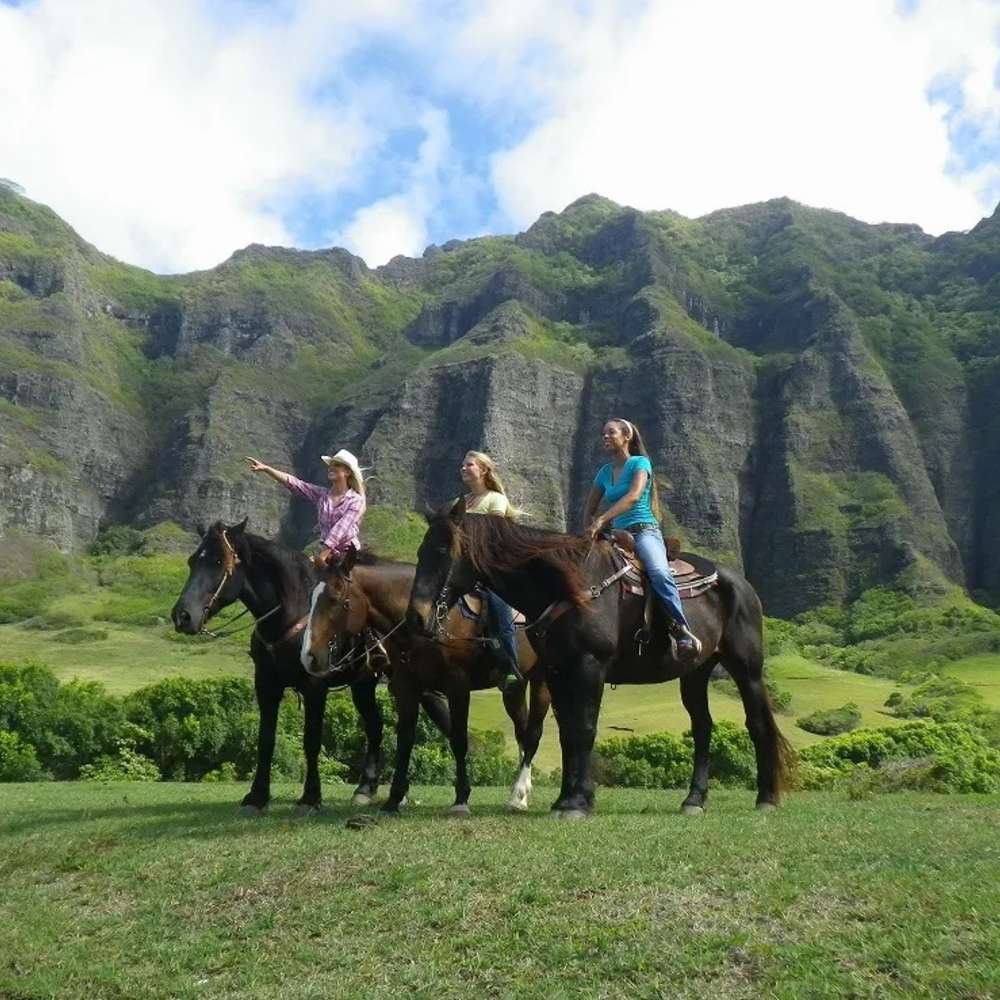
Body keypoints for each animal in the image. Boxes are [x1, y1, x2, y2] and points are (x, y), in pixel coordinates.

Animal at [170, 519, 451, 815]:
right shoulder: (266, 685)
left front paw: (310, 797)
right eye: (192, 561)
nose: (182, 616)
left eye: (218, 561)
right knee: (376, 726)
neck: (291, 613)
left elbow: (312, 740)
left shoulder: (315, 686)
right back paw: (366, 789)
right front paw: (257, 796)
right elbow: (266, 740)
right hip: (363, 684)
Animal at [301, 546, 550, 815]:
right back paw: (522, 794)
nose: (309, 656)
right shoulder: (407, 689)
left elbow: (458, 740)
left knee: (533, 734)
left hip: (542, 681)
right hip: (514, 686)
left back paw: (517, 796)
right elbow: (405, 741)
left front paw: (461, 799)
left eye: (336, 599)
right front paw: (394, 799)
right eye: (311, 599)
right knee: (522, 732)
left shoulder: (457, 688)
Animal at [406, 502, 792, 819]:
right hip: (695, 673)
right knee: (702, 728)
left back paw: (766, 798)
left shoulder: (589, 668)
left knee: (757, 723)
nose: (417, 617)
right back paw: (694, 800)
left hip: (746, 669)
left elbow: (585, 729)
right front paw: (566, 799)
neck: (567, 588)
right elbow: (567, 733)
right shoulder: (557, 672)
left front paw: (577, 803)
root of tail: (741, 584)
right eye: (420, 550)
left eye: (443, 550)